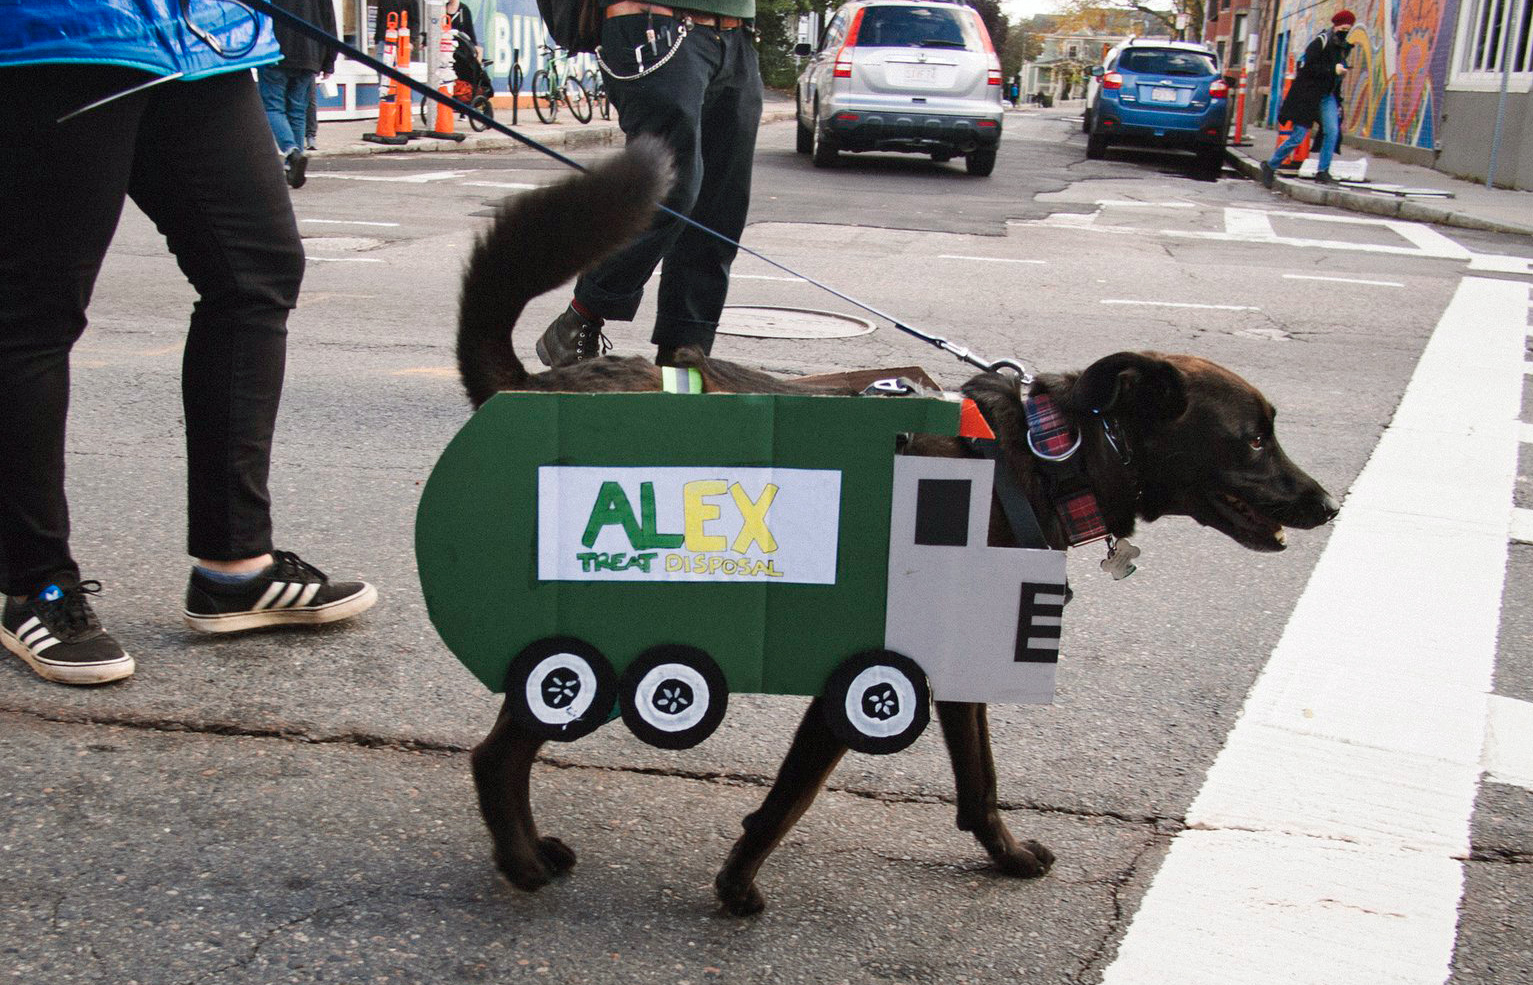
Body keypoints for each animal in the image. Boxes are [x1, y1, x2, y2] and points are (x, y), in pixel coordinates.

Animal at [450, 138, 1330, 919]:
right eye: (1254, 437)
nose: (1326, 503)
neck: (1053, 456)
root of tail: (528, 388)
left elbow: (979, 779)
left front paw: (1006, 855)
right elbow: (791, 795)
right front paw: (736, 884)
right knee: (498, 751)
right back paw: (523, 862)